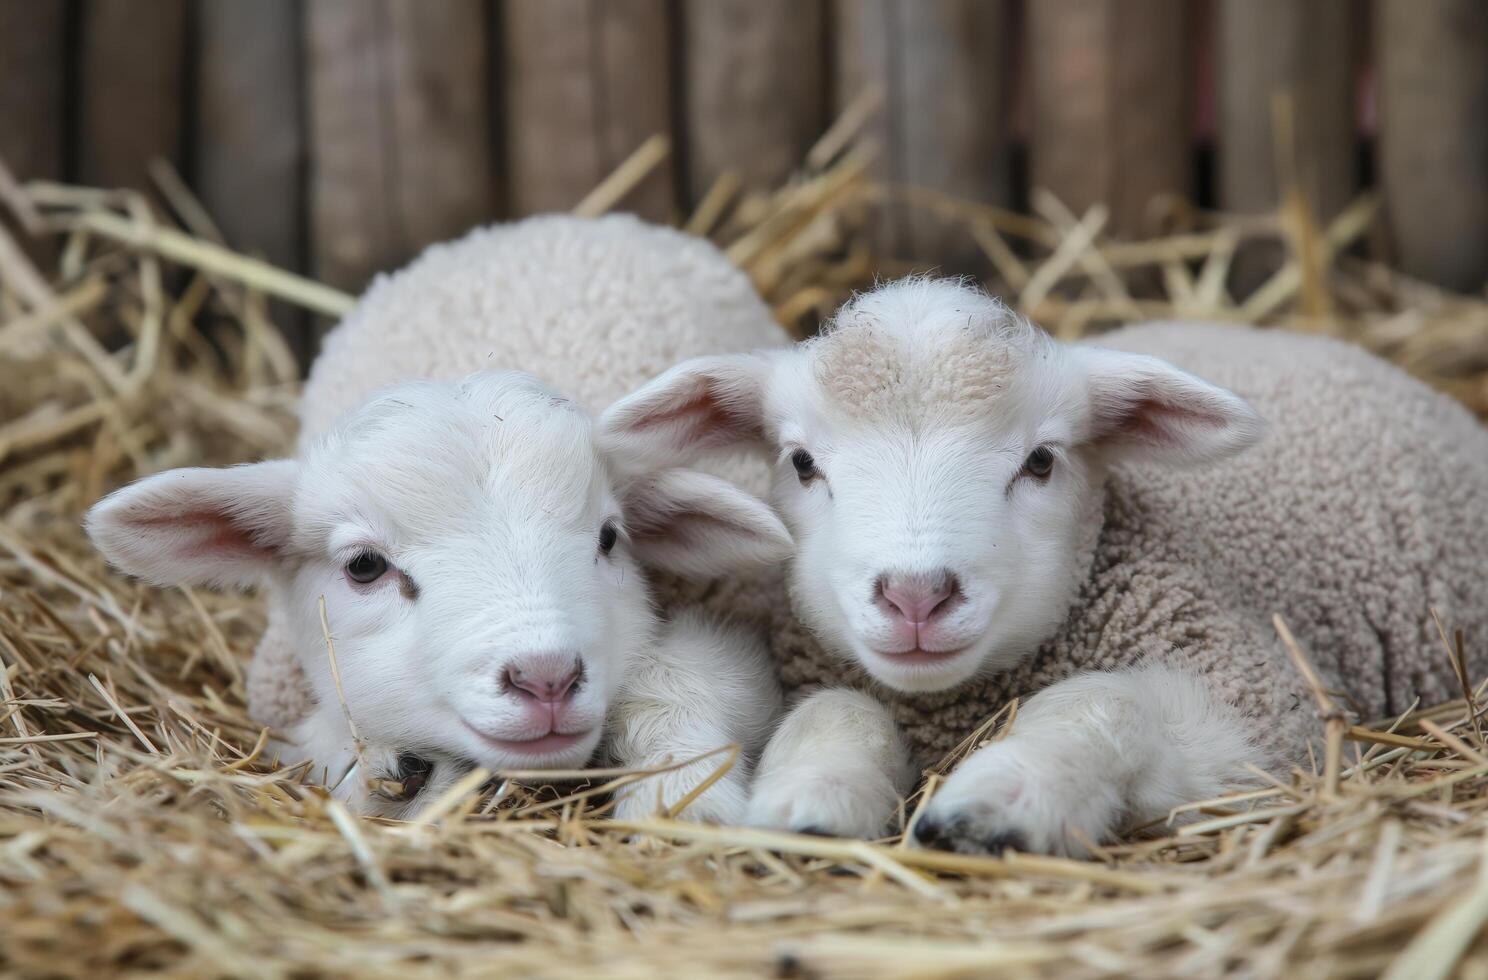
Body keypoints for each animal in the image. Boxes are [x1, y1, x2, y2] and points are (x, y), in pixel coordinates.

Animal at [87, 217, 797, 820]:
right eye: (364, 566)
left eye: (609, 538)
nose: (545, 678)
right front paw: (390, 768)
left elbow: (683, 684)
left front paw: (680, 796)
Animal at [604, 278, 1488, 856]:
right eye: (800, 462)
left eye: (1040, 461)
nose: (916, 596)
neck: (948, 708)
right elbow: (834, 711)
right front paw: (812, 801)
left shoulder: (1259, 709)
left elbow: (1102, 701)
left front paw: (1001, 799)